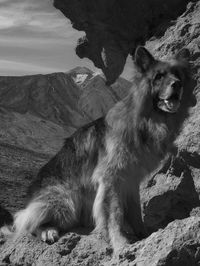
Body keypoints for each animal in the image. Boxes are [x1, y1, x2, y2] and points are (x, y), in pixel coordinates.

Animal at [0, 46, 195, 254]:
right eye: (159, 76)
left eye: (178, 75)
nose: (177, 84)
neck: (144, 120)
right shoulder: (111, 179)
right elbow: (114, 214)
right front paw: (121, 244)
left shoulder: (131, 180)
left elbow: (135, 212)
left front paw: (143, 234)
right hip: (65, 198)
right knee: (27, 223)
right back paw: (47, 231)